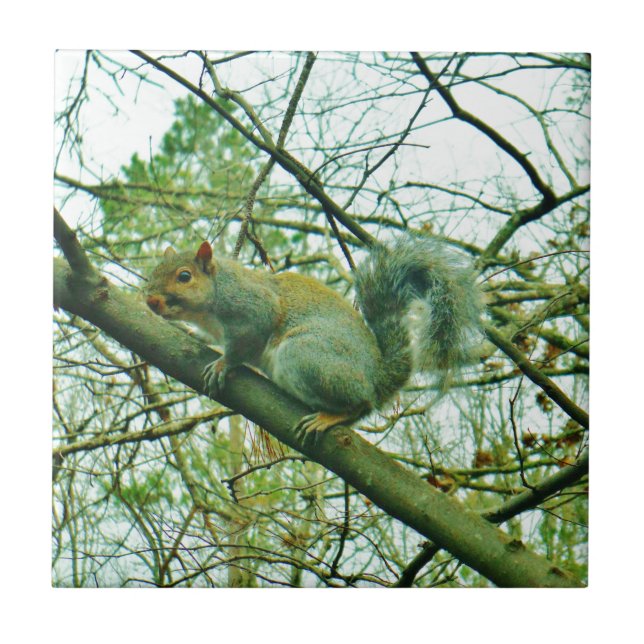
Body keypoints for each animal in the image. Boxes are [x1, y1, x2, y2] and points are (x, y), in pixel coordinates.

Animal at [145, 234, 482, 436]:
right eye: (152, 272)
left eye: (184, 276)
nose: (150, 301)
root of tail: (376, 378)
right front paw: (191, 331)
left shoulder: (253, 308)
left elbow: (242, 345)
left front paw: (222, 365)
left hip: (305, 354)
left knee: (360, 405)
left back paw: (330, 417)